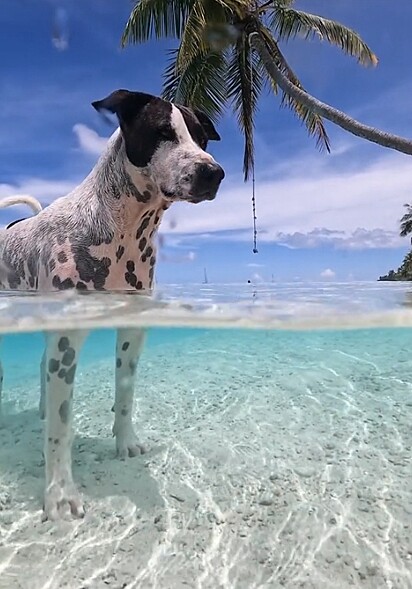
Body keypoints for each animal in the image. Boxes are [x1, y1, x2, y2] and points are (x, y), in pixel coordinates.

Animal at [0, 87, 225, 520]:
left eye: (202, 138)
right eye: (162, 131)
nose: (213, 172)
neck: (123, 228)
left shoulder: (132, 328)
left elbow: (125, 395)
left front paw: (125, 442)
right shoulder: (68, 339)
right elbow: (61, 428)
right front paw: (59, 493)